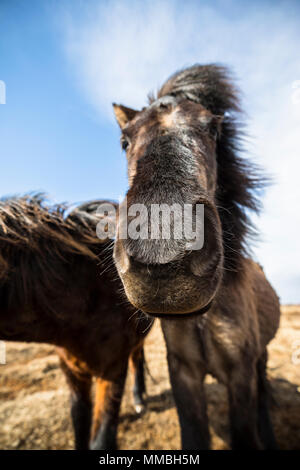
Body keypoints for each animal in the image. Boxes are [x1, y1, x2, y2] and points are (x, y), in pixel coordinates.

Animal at [0, 194, 151, 448]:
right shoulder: (73, 372)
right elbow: (79, 422)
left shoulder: (112, 370)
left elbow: (101, 438)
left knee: (137, 358)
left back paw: (139, 398)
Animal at [112, 64, 282, 450]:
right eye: (124, 141)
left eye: (213, 129)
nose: (162, 255)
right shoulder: (183, 373)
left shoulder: (241, 374)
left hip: (261, 359)